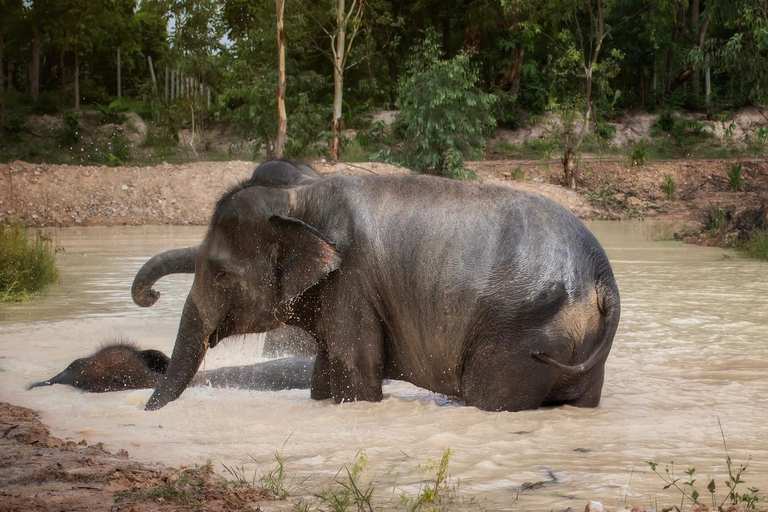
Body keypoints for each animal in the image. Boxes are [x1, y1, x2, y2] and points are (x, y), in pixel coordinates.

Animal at [135, 164, 620, 412]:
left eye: (219, 273)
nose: (149, 295)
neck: (301, 195)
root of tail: (603, 280)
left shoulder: (352, 283)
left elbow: (357, 376)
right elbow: (323, 374)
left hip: (522, 334)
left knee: (494, 398)